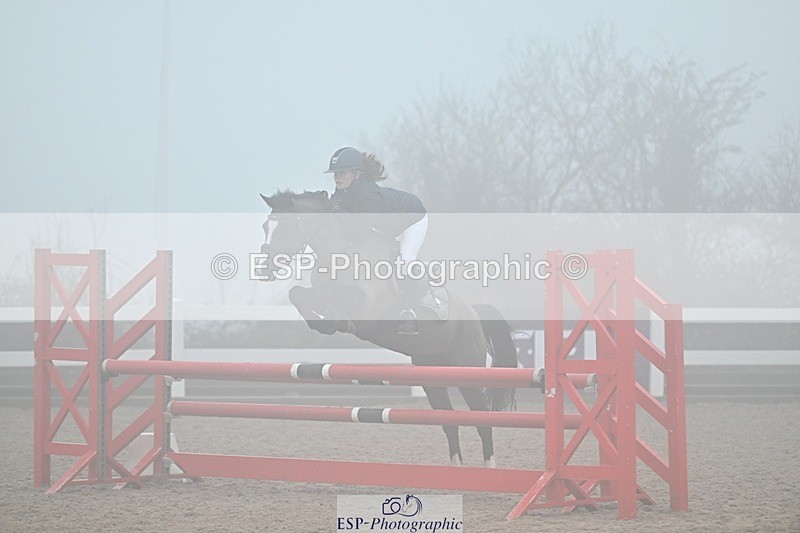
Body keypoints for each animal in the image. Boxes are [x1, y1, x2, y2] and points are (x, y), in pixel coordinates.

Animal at [257, 190, 519, 467]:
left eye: (286, 227)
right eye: (265, 227)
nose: (265, 270)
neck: (341, 251)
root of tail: (473, 313)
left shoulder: (368, 305)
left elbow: (345, 307)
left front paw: (334, 323)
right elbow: (299, 293)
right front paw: (319, 323)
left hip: (466, 372)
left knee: (482, 419)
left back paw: (489, 468)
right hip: (431, 375)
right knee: (449, 421)